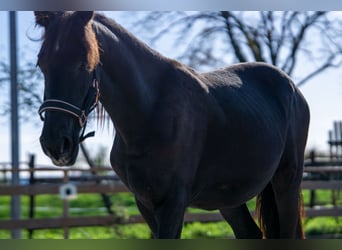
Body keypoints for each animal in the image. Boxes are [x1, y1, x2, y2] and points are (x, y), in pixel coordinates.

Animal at [34, 11, 310, 238]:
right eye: (41, 64)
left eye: (83, 63)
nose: (55, 144)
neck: (149, 112)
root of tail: (292, 88)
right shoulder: (145, 203)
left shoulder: (173, 203)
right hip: (229, 198)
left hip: (287, 181)